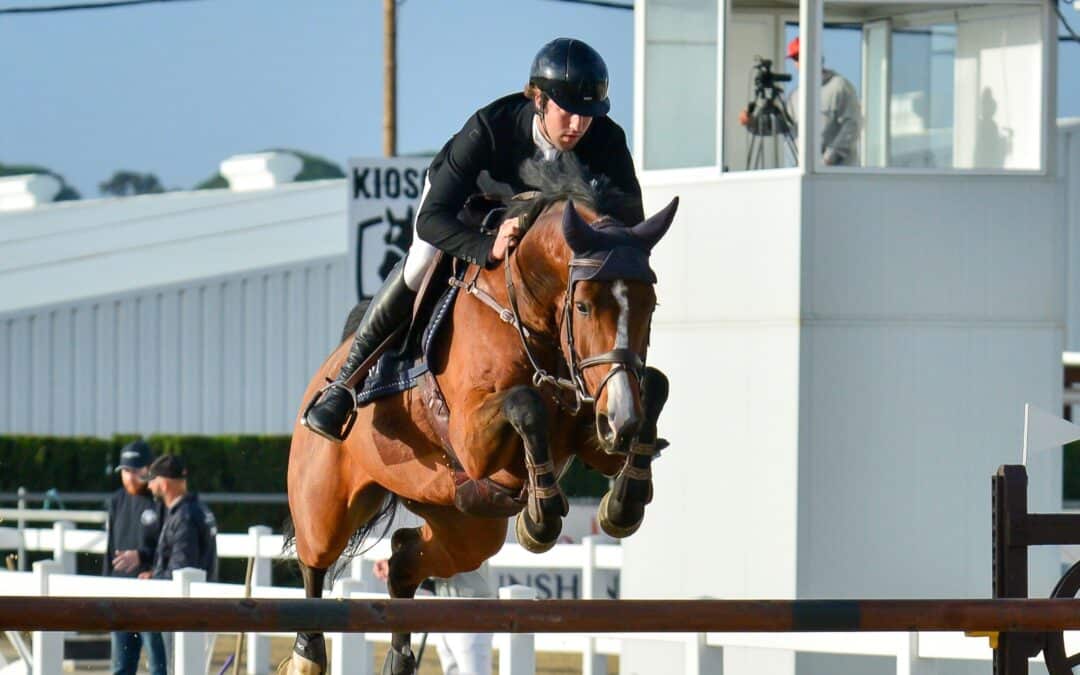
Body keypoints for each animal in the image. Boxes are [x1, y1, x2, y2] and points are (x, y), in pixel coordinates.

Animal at [285, 163, 673, 673]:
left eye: (651, 305)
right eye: (584, 305)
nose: (621, 423)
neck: (531, 319)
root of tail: (325, 372)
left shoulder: (594, 428)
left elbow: (656, 387)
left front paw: (624, 501)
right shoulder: (473, 438)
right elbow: (525, 404)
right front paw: (540, 517)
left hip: (466, 520)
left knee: (406, 556)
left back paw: (400, 656)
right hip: (327, 503)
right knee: (315, 563)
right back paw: (308, 654)